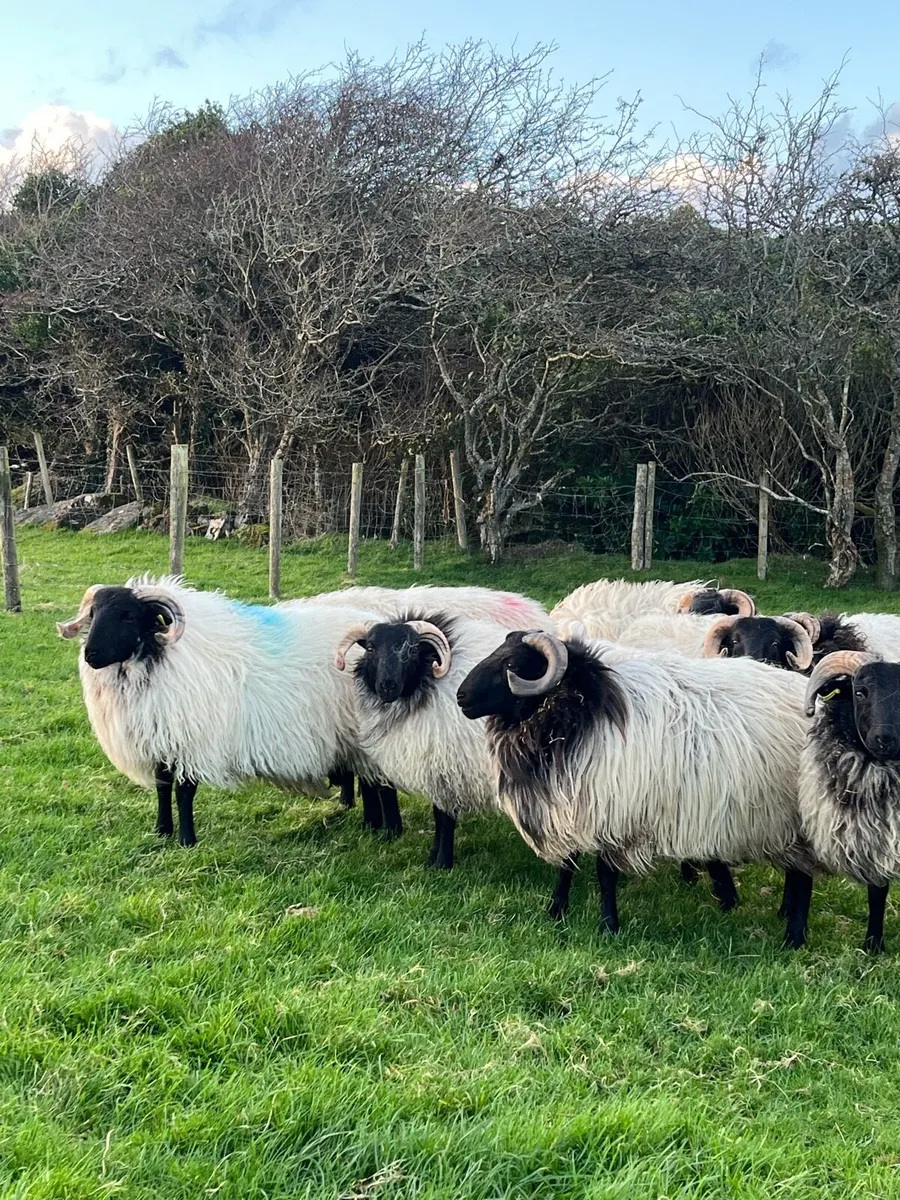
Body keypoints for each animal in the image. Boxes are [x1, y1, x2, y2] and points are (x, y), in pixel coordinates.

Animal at [56, 577, 400, 846]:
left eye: (128, 615)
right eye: (93, 613)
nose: (91, 655)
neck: (160, 659)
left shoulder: (191, 744)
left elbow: (184, 792)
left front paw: (187, 841)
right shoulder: (162, 739)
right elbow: (163, 789)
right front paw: (162, 832)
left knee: (383, 784)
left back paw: (388, 831)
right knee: (371, 783)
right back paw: (372, 825)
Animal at [456, 630, 817, 948]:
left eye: (512, 664)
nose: (461, 697)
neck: (579, 714)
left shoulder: (612, 815)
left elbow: (605, 874)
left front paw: (608, 926)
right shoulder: (569, 805)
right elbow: (566, 866)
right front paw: (556, 911)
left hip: (794, 818)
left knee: (803, 876)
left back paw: (793, 936)